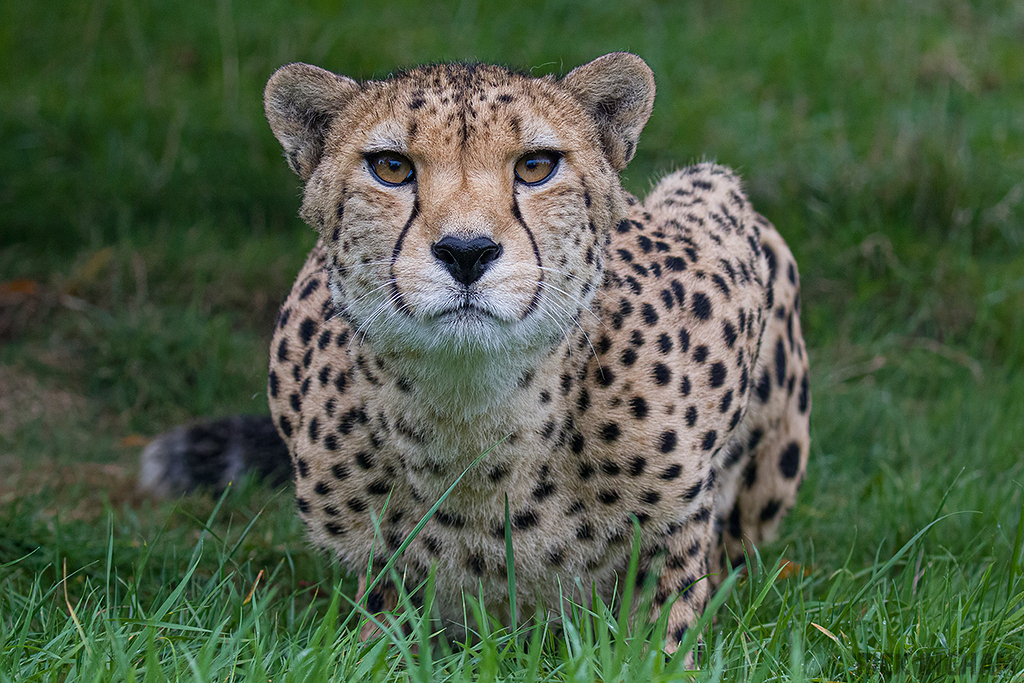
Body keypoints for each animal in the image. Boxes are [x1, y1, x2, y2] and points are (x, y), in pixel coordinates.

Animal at [140, 52, 811, 659]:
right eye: (391, 167)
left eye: (536, 166)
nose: (466, 251)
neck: (480, 416)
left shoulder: (723, 225)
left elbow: (663, 627)